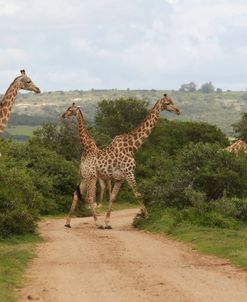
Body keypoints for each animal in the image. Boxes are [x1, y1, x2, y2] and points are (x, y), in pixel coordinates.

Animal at [62, 95, 180, 229]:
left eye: (171, 101)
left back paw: (68, 223)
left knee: (76, 193)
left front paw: (108, 223)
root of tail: (82, 163)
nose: (177, 111)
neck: (132, 147)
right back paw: (97, 223)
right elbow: (138, 194)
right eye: (167, 103)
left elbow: (113, 197)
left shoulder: (120, 178)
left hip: (85, 177)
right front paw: (147, 217)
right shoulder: (129, 173)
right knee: (90, 197)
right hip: (91, 176)